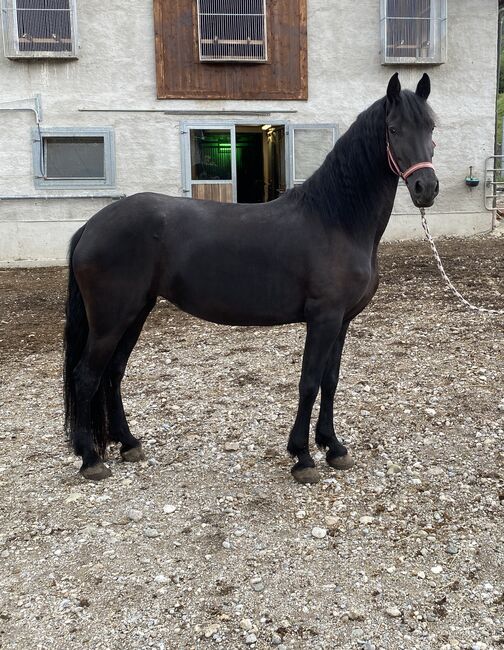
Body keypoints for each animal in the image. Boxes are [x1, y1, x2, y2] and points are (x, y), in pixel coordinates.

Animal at [65, 74, 440, 480]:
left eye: (431, 128)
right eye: (393, 129)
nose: (426, 188)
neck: (336, 219)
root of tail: (91, 226)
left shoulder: (342, 320)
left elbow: (330, 381)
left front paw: (333, 447)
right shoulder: (323, 318)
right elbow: (309, 382)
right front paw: (302, 457)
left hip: (136, 312)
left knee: (113, 373)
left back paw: (128, 443)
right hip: (110, 320)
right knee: (86, 377)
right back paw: (90, 458)